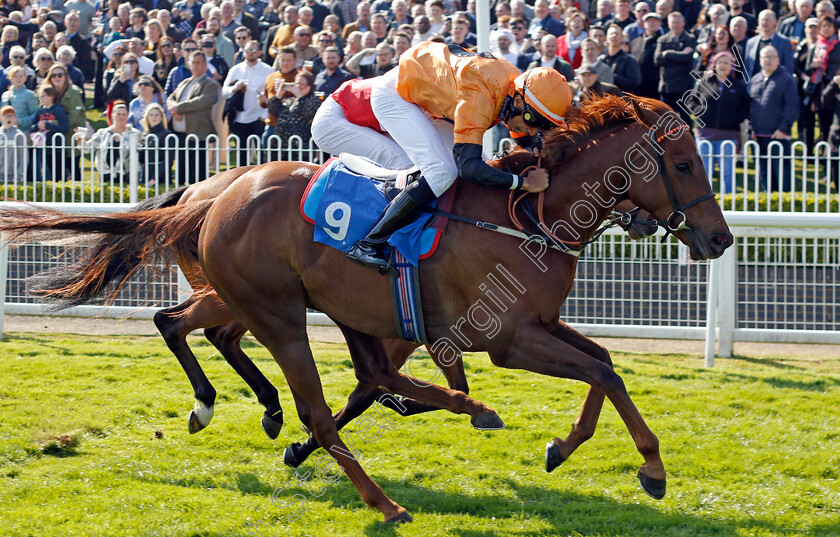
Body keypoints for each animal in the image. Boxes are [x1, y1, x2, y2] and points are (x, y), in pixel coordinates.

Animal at [0, 95, 732, 520]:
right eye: (686, 165)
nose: (721, 239)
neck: (529, 213)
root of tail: (213, 197)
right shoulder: (507, 338)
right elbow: (602, 371)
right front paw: (651, 466)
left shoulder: (539, 324)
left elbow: (605, 364)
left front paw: (566, 445)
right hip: (276, 312)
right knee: (314, 403)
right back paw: (379, 494)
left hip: (300, 305)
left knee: (219, 338)